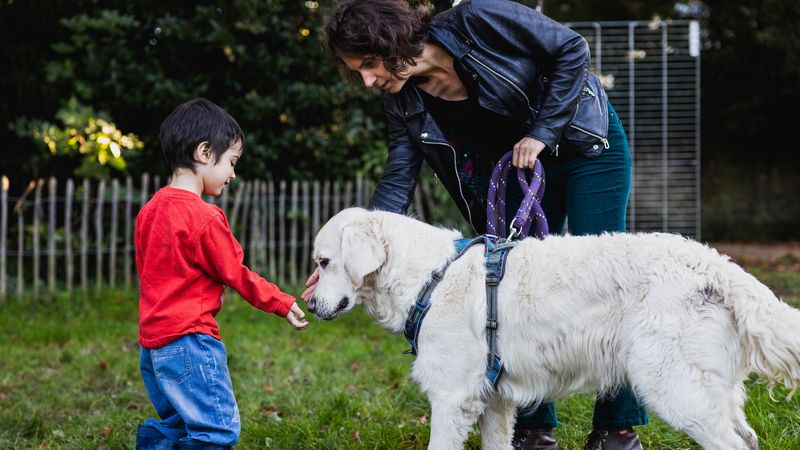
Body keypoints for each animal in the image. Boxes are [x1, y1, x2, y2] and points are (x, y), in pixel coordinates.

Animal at [306, 208, 800, 450]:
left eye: (324, 262)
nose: (309, 304)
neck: (432, 275)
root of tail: (716, 264)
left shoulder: (451, 399)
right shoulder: (493, 402)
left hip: (675, 389)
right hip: (714, 392)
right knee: (748, 439)